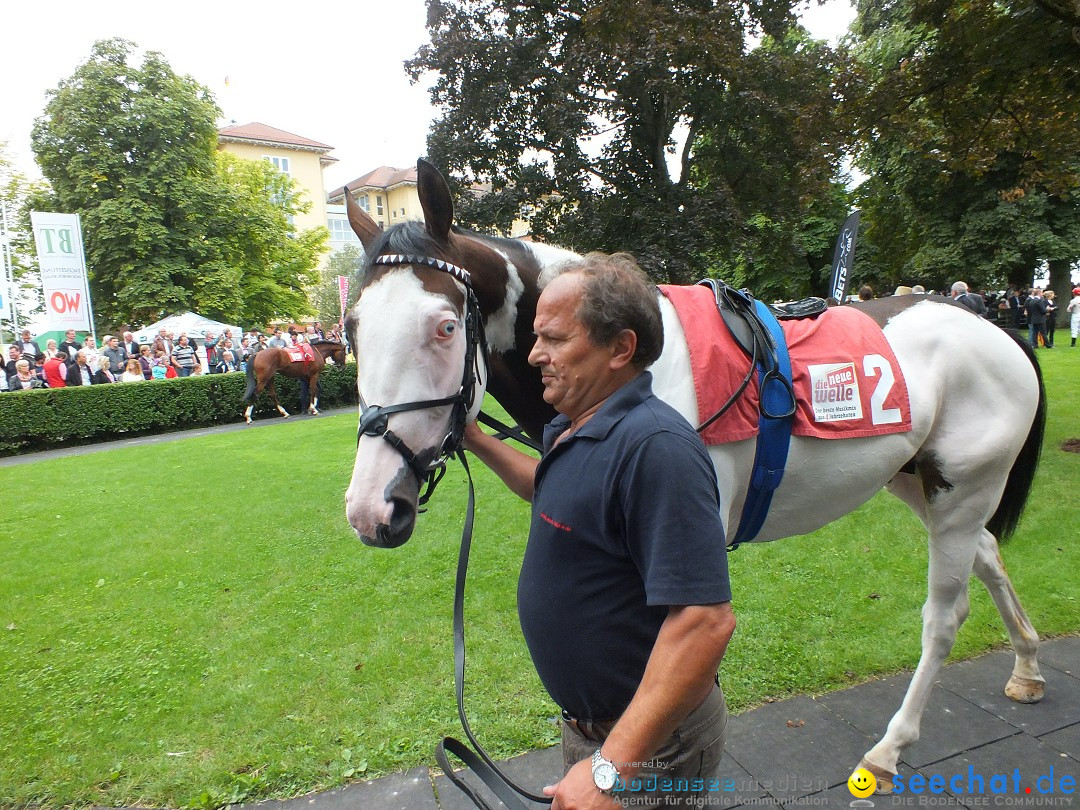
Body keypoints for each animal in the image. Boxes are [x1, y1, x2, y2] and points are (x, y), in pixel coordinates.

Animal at [339, 162, 1045, 794]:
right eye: (351, 329)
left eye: (444, 326)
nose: (372, 508)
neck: (638, 371)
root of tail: (992, 325)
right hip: (917, 480)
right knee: (988, 554)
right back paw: (1029, 665)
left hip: (964, 492)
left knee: (945, 615)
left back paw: (891, 746)